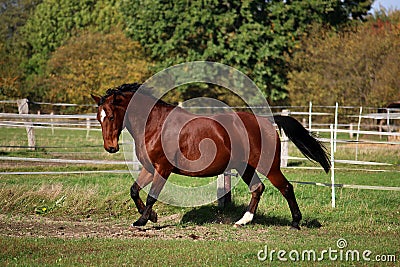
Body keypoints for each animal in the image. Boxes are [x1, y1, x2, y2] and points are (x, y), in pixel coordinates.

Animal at [92, 84, 330, 230]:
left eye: (111, 115)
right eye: (98, 117)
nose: (111, 148)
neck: (155, 125)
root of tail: (266, 121)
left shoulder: (163, 168)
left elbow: (151, 195)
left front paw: (142, 221)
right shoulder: (150, 168)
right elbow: (134, 191)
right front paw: (151, 217)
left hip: (269, 167)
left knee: (286, 188)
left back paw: (295, 223)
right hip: (245, 167)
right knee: (258, 189)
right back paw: (243, 221)